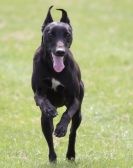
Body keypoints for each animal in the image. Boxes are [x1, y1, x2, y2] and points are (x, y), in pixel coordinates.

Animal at [31, 5, 83, 162]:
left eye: (67, 34)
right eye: (51, 34)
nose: (60, 52)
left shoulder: (75, 99)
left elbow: (67, 114)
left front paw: (61, 128)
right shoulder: (38, 93)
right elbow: (41, 99)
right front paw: (49, 109)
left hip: (79, 115)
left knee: (73, 132)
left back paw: (70, 154)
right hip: (44, 121)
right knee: (49, 136)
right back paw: (52, 158)